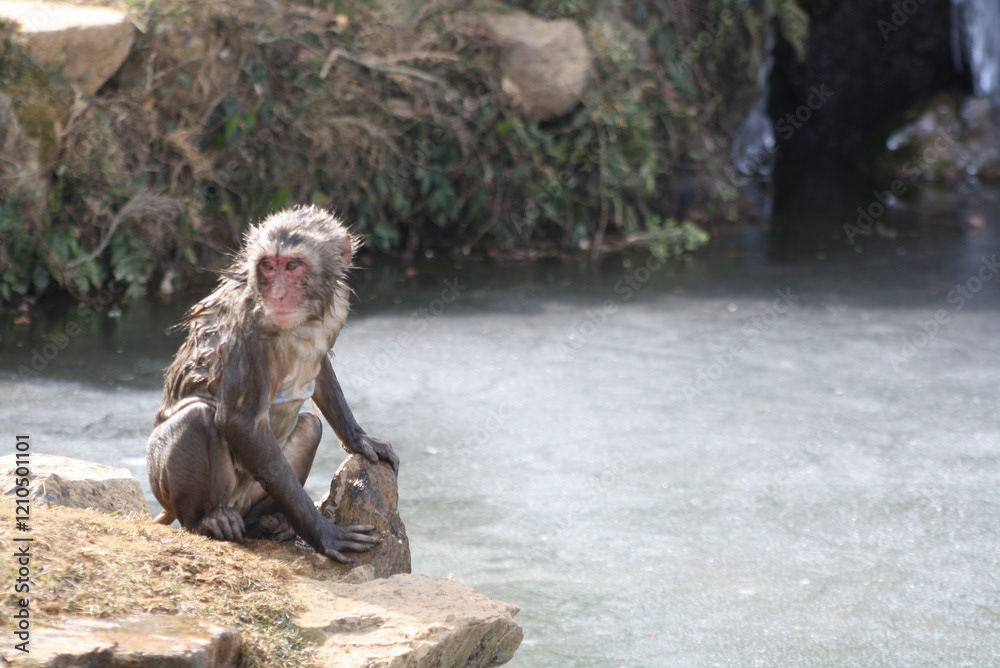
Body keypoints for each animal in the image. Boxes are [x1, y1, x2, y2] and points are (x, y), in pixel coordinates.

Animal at [146, 205, 399, 563]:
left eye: (292, 265)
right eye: (268, 265)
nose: (277, 295)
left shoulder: (337, 304)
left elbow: (320, 371)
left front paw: (358, 438)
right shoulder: (247, 326)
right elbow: (239, 422)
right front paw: (323, 533)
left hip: (252, 494)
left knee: (310, 427)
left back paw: (266, 522)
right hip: (172, 485)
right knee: (195, 417)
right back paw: (208, 520)